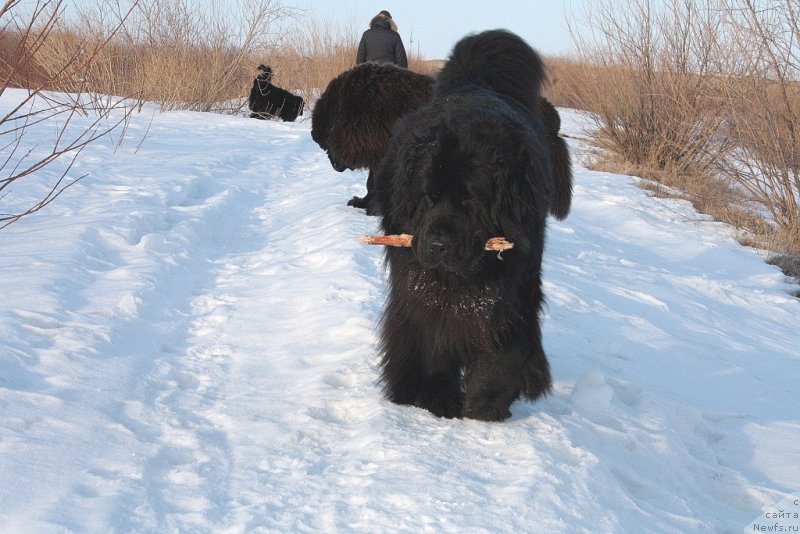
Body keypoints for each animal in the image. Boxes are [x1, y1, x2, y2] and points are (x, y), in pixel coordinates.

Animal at [372, 29, 572, 422]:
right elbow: (433, 336)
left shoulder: (514, 289)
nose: (437, 245)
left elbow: (502, 348)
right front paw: (436, 398)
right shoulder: (422, 289)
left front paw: (485, 406)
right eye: (428, 196)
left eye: (470, 202)